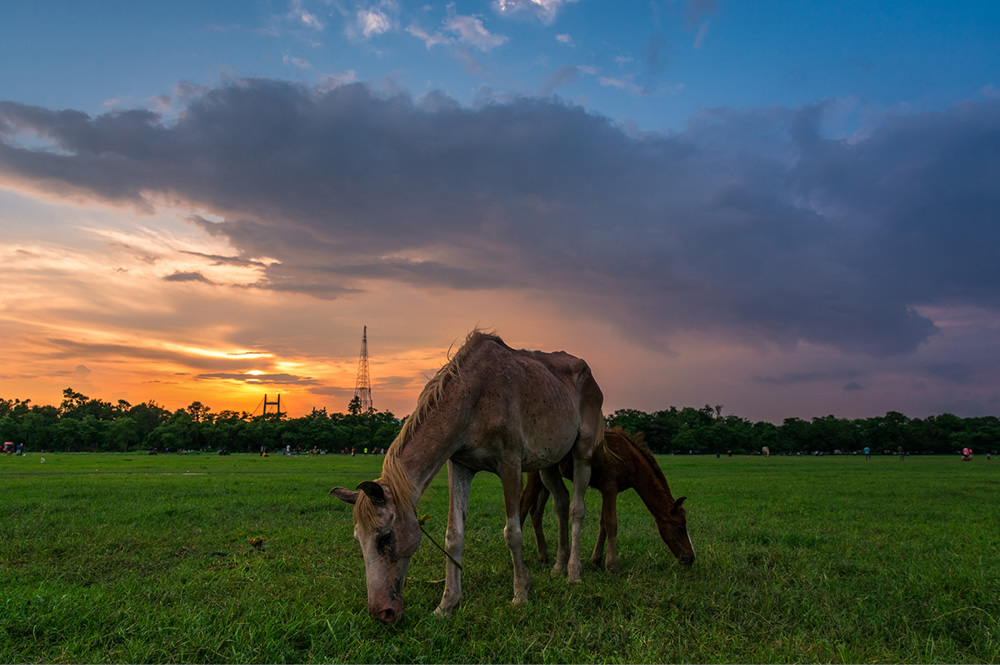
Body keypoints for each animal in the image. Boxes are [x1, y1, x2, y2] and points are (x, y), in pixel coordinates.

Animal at [332, 330, 604, 624]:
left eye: (384, 538)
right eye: (358, 540)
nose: (382, 612)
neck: (475, 396)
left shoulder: (510, 465)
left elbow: (513, 533)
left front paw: (521, 593)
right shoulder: (460, 466)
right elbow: (454, 535)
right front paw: (447, 604)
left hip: (582, 452)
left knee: (577, 508)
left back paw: (573, 572)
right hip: (547, 464)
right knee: (561, 503)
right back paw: (558, 566)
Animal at [520, 428, 692, 572]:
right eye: (680, 527)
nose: (690, 558)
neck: (629, 459)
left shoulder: (606, 489)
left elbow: (603, 522)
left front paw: (596, 560)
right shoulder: (610, 487)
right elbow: (611, 523)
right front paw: (611, 565)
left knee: (536, 512)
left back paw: (543, 557)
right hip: (535, 477)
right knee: (523, 507)